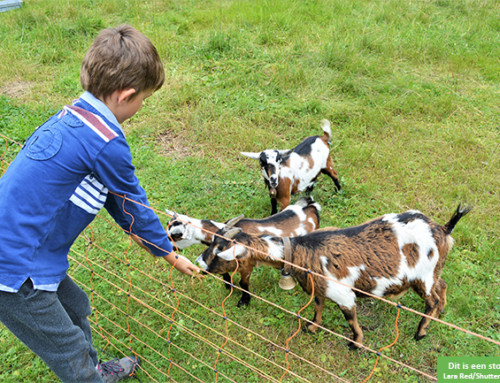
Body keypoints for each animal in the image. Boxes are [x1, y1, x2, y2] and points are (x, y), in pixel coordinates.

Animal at [174, 200, 322, 308]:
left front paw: (244, 301)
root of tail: (312, 208)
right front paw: (228, 285)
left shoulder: (246, 267)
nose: (199, 262)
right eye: (213, 241)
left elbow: (243, 284)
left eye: (220, 248)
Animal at [206, 206, 468, 350]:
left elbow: (351, 318)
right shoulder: (318, 287)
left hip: (423, 277)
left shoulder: (342, 294)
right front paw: (312, 328)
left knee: (431, 300)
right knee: (442, 286)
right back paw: (440, 314)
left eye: (220, 251)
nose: (201, 264)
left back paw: (420, 332)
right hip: (434, 272)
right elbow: (318, 306)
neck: (302, 251)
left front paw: (356, 344)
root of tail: (443, 229)